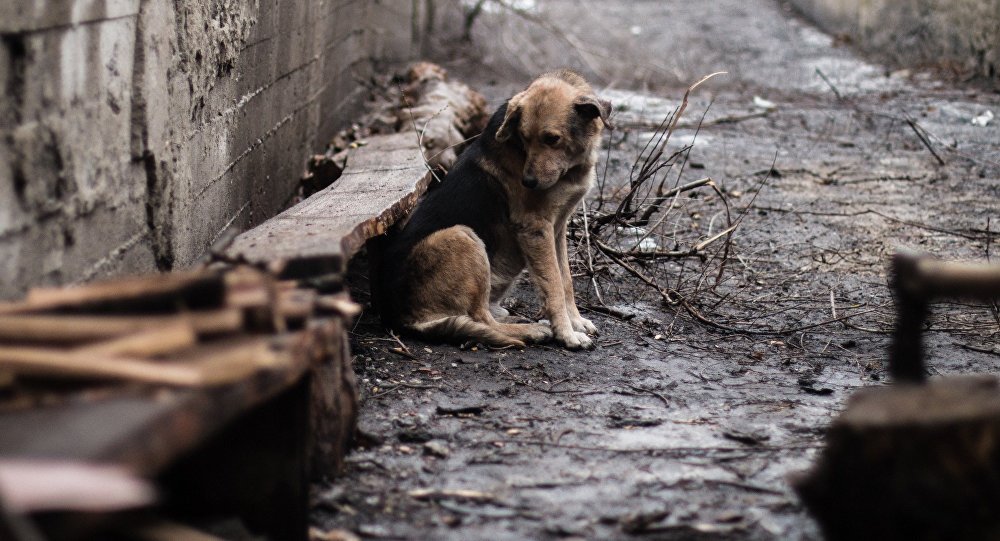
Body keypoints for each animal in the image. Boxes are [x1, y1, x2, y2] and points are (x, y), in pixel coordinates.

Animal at [376, 69, 608, 350]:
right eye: (524, 138)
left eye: (552, 139)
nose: (528, 182)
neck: (572, 166)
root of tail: (399, 317)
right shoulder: (536, 227)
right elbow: (553, 285)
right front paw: (566, 333)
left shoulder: (558, 228)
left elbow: (565, 281)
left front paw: (575, 322)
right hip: (461, 235)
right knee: (481, 318)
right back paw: (530, 330)